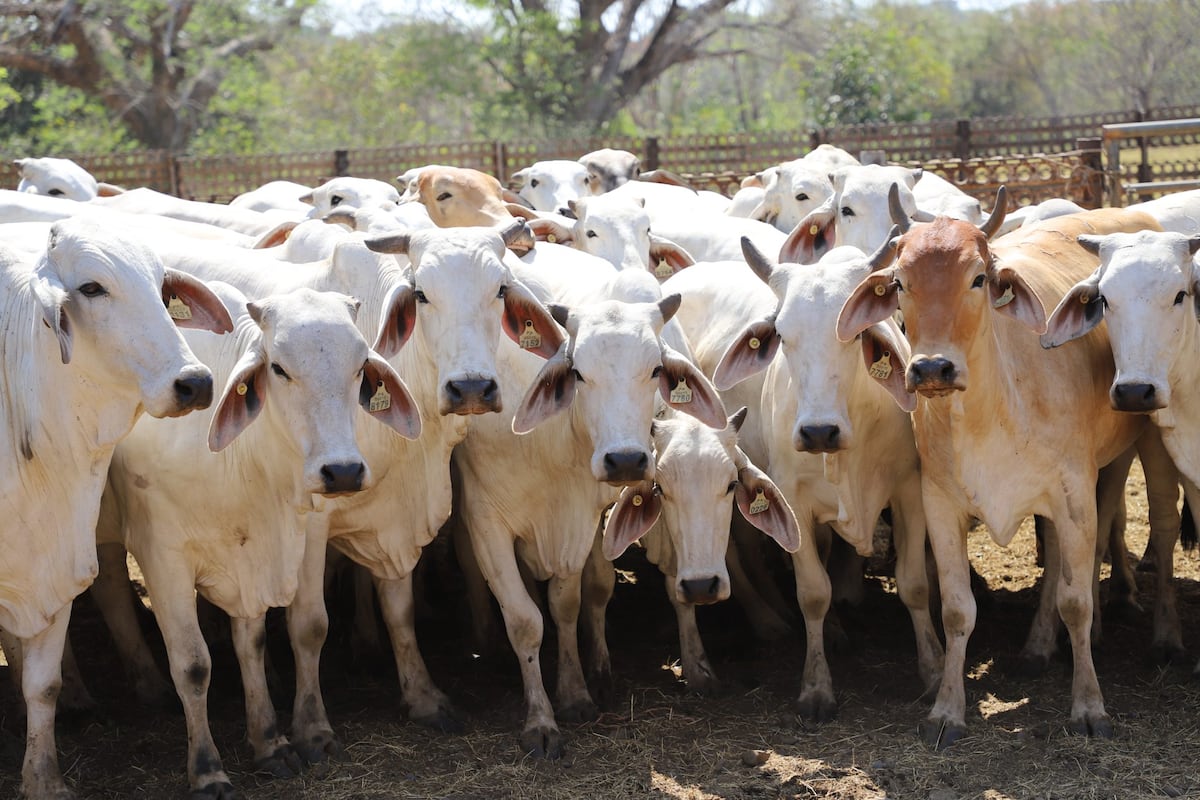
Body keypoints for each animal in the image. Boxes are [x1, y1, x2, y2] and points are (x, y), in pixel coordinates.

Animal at [0, 218, 230, 799]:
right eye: (91, 288)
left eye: (164, 288)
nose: (195, 383)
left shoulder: (58, 561)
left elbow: (43, 684)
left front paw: (43, 778)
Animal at [836, 199, 1162, 746]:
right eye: (900, 282)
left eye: (977, 278)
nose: (932, 369)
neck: (989, 413)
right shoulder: (938, 503)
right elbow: (956, 609)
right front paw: (947, 710)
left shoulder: (1075, 495)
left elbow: (1077, 601)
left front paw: (1089, 706)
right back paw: (1036, 647)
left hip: (1116, 460)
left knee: (1093, 552)